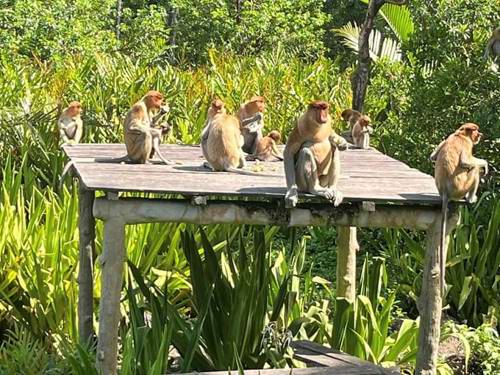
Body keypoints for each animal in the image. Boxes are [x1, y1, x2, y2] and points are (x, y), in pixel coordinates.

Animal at [430, 122, 488, 294]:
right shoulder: (467, 145)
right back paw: (470, 198)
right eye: (475, 131)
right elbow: (465, 163)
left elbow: (433, 156)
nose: (480, 135)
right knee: (473, 170)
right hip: (462, 187)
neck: (460, 134)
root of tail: (445, 192)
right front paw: (485, 164)